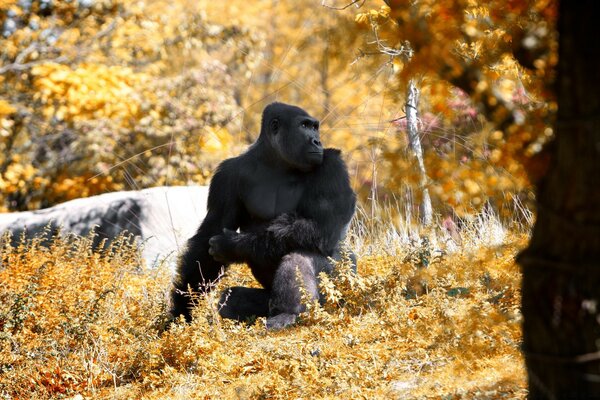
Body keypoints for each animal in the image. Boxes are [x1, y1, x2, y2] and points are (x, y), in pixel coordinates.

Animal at [169, 101, 356, 330]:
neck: (275, 161)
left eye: (315, 127)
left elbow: (323, 227)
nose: (317, 141)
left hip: (342, 288)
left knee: (301, 253)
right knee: (231, 301)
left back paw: (288, 312)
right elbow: (206, 240)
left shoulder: (331, 164)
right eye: (304, 126)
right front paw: (182, 309)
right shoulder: (226, 175)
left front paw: (233, 246)